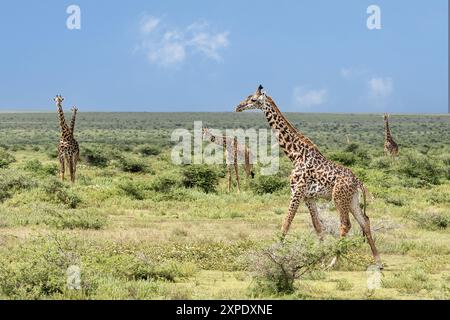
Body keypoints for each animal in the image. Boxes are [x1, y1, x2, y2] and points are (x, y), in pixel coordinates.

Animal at [234, 85, 382, 268]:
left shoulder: (296, 192)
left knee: (345, 225)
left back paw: (334, 262)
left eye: (253, 100)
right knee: (365, 221)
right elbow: (317, 226)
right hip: (352, 199)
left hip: (339, 198)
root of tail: (358, 181)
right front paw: (319, 258)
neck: (294, 154)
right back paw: (378, 261)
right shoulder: (308, 197)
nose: (238, 107)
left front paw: (275, 255)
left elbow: (286, 223)